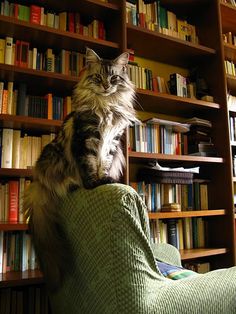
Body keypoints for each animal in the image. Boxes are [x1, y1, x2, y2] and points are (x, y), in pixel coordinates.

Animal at [23, 46, 137, 290]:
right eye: (98, 78)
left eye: (114, 78)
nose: (106, 86)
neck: (106, 106)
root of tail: (38, 184)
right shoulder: (86, 138)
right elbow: (89, 164)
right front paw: (93, 183)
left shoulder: (111, 143)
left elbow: (103, 164)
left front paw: (105, 179)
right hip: (53, 156)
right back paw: (74, 184)